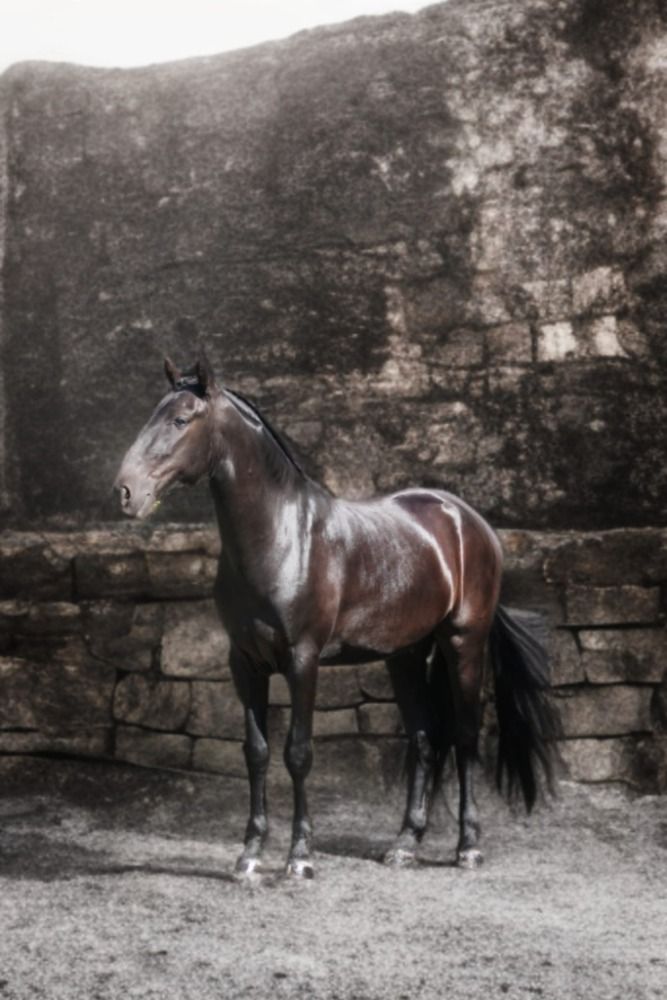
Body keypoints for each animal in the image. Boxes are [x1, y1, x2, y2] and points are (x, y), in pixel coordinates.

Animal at [114, 354, 556, 877]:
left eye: (181, 420)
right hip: (405, 655)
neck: (282, 537)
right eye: (152, 414)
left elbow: (298, 753)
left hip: (463, 643)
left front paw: (300, 856)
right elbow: (256, 753)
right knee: (425, 737)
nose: (126, 492)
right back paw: (404, 844)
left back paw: (468, 847)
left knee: (466, 736)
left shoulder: (303, 660)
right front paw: (249, 855)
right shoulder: (245, 663)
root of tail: (470, 522)